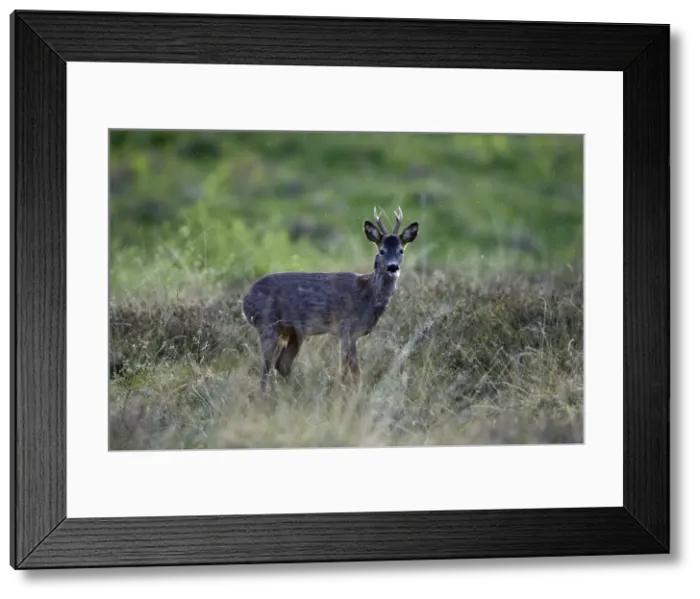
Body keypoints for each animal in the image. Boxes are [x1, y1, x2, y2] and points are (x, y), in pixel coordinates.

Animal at [241, 207, 419, 392]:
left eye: (401, 250)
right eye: (382, 250)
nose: (393, 267)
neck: (368, 296)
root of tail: (245, 301)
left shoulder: (348, 333)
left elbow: (346, 370)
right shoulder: (347, 329)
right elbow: (354, 372)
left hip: (293, 332)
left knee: (282, 364)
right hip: (267, 324)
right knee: (266, 368)